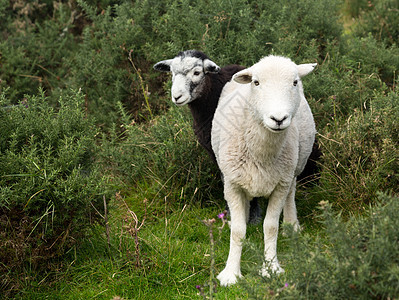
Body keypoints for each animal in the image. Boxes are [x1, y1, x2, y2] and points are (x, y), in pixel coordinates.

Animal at [211, 54, 318, 286]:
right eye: (256, 83)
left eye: (294, 82)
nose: (278, 119)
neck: (262, 153)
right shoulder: (232, 184)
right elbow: (238, 231)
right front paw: (231, 273)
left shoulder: (280, 184)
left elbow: (270, 227)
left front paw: (271, 268)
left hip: (295, 165)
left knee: (292, 192)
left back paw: (292, 225)